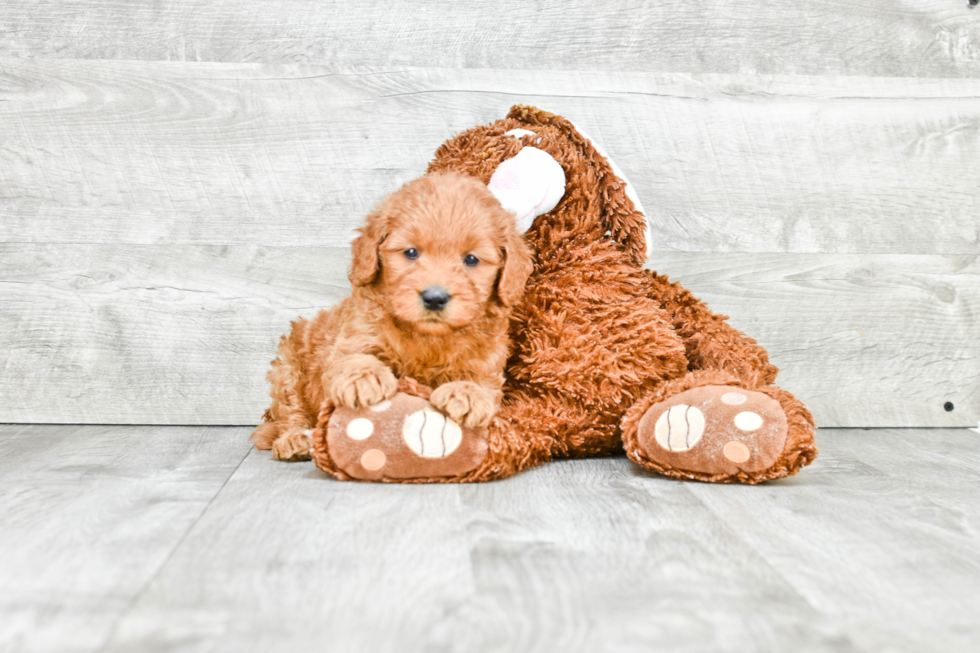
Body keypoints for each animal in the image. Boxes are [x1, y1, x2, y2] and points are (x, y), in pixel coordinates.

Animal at [249, 171, 532, 460]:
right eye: (411, 252)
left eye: (472, 260)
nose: (435, 298)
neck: (427, 337)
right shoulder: (354, 333)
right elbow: (351, 357)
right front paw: (364, 377)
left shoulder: (488, 359)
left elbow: (482, 382)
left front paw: (467, 394)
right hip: (288, 366)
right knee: (289, 410)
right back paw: (294, 439)